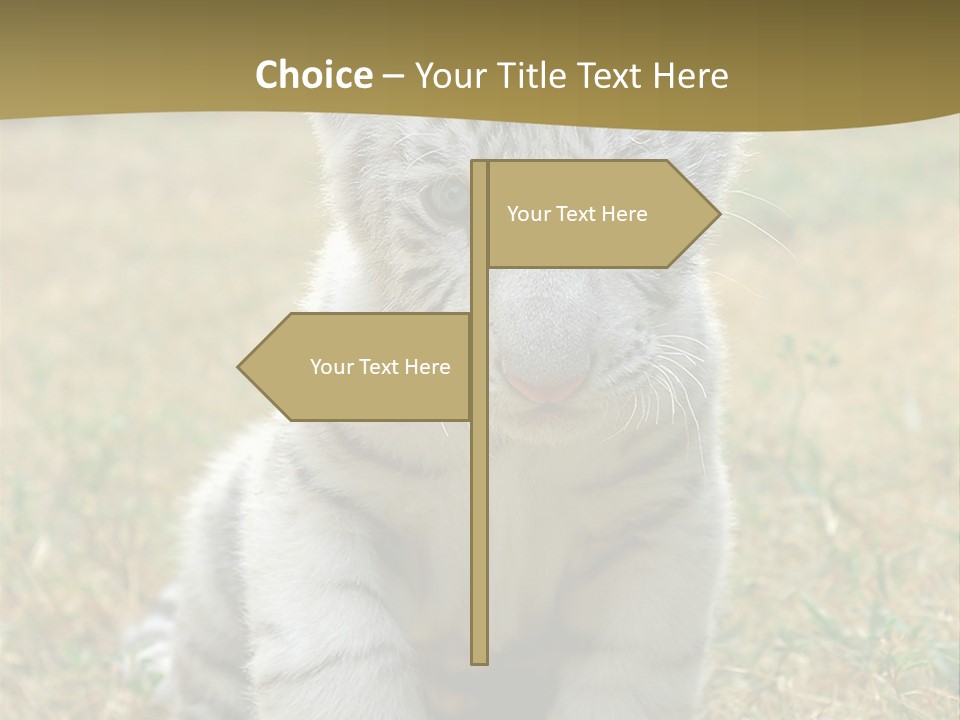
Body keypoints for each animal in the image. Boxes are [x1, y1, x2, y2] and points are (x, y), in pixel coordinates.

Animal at [126, 114, 742, 720]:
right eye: (450, 199)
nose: (545, 381)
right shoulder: (313, 497)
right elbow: (336, 667)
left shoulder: (667, 518)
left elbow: (633, 672)